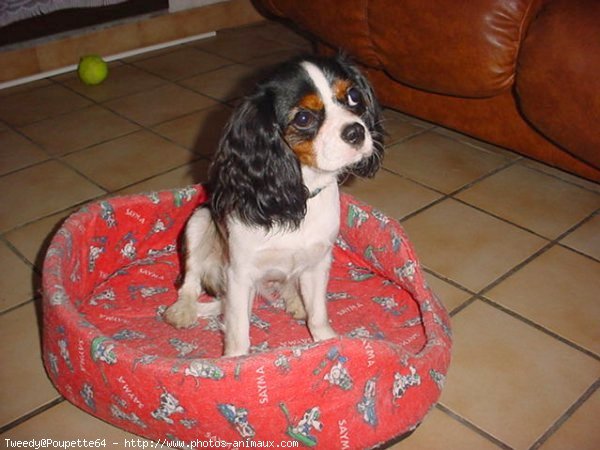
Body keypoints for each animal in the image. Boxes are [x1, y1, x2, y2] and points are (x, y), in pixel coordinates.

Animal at [163, 55, 384, 356]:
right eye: (303, 118)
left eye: (353, 96)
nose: (356, 131)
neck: (300, 194)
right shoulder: (239, 273)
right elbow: (238, 331)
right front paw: (235, 360)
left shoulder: (318, 262)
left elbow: (318, 313)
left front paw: (327, 341)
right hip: (199, 220)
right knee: (189, 280)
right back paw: (183, 310)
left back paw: (296, 301)